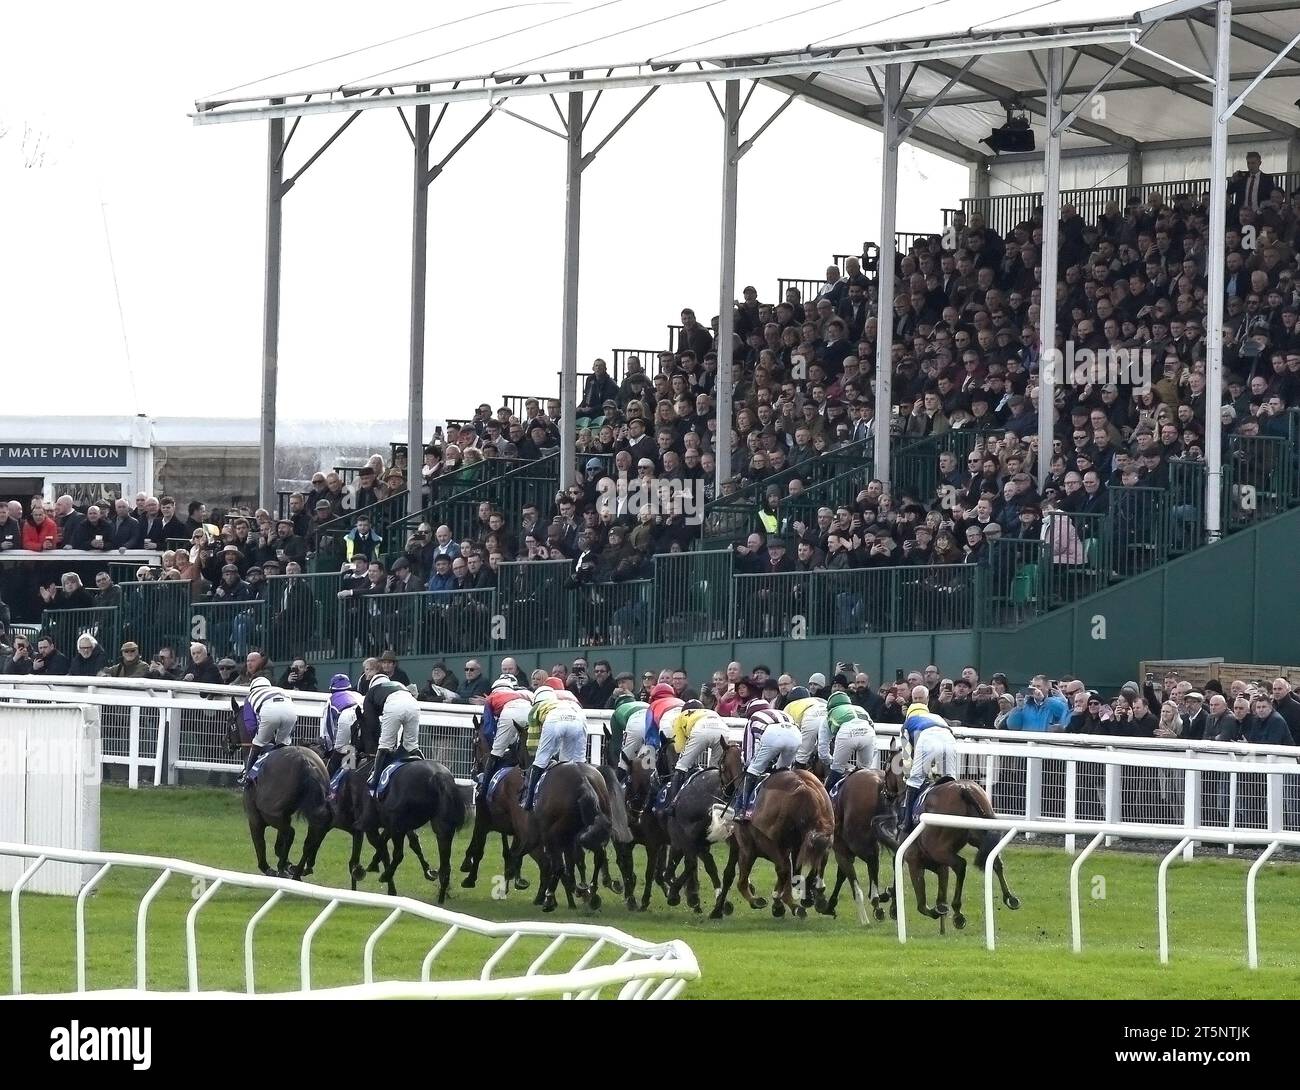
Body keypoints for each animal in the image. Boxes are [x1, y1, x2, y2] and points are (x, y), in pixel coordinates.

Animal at [222, 707, 327, 879]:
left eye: (230, 723)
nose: (225, 744)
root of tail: (306, 762)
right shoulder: (285, 815)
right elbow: (279, 844)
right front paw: (288, 864)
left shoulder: (256, 818)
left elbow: (261, 847)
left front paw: (272, 868)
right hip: (309, 811)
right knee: (313, 836)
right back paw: (299, 870)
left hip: (271, 813)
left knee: (291, 834)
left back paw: (283, 868)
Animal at [330, 754, 467, 900]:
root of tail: (438, 775)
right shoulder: (398, 825)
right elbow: (412, 843)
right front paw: (428, 871)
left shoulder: (374, 826)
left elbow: (382, 847)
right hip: (442, 829)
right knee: (445, 867)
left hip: (397, 825)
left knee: (398, 854)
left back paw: (385, 875)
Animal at [712, 770, 832, 920]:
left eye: (720, 768)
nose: (725, 790)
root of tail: (803, 787)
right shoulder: (791, 848)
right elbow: (791, 873)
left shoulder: (746, 847)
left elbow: (736, 879)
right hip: (824, 833)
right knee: (820, 860)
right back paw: (814, 898)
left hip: (769, 843)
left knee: (784, 869)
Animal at [889, 764, 1019, 936]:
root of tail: (964, 789)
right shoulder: (940, 866)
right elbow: (939, 894)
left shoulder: (913, 860)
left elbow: (921, 904)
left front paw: (937, 910)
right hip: (978, 834)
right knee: (995, 861)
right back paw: (1010, 897)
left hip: (940, 849)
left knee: (961, 865)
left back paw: (958, 914)